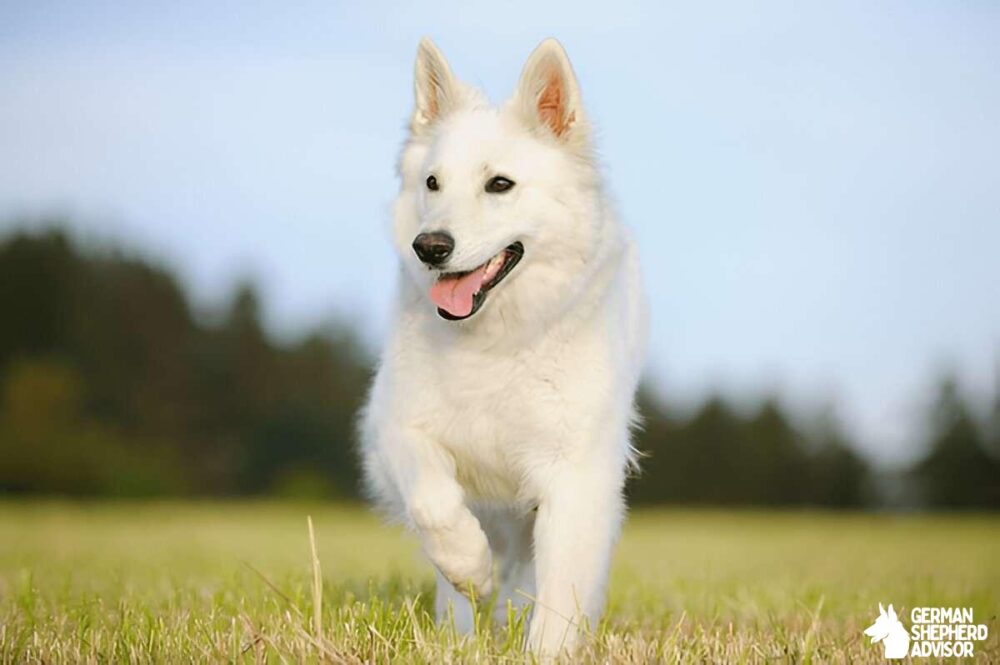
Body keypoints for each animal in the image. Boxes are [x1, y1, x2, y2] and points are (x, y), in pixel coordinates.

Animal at [360, 36, 648, 652]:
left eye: (500, 185)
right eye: (433, 183)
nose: (430, 246)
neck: (493, 342)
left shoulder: (575, 477)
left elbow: (560, 589)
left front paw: (546, 651)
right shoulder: (395, 429)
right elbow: (434, 504)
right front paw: (472, 569)